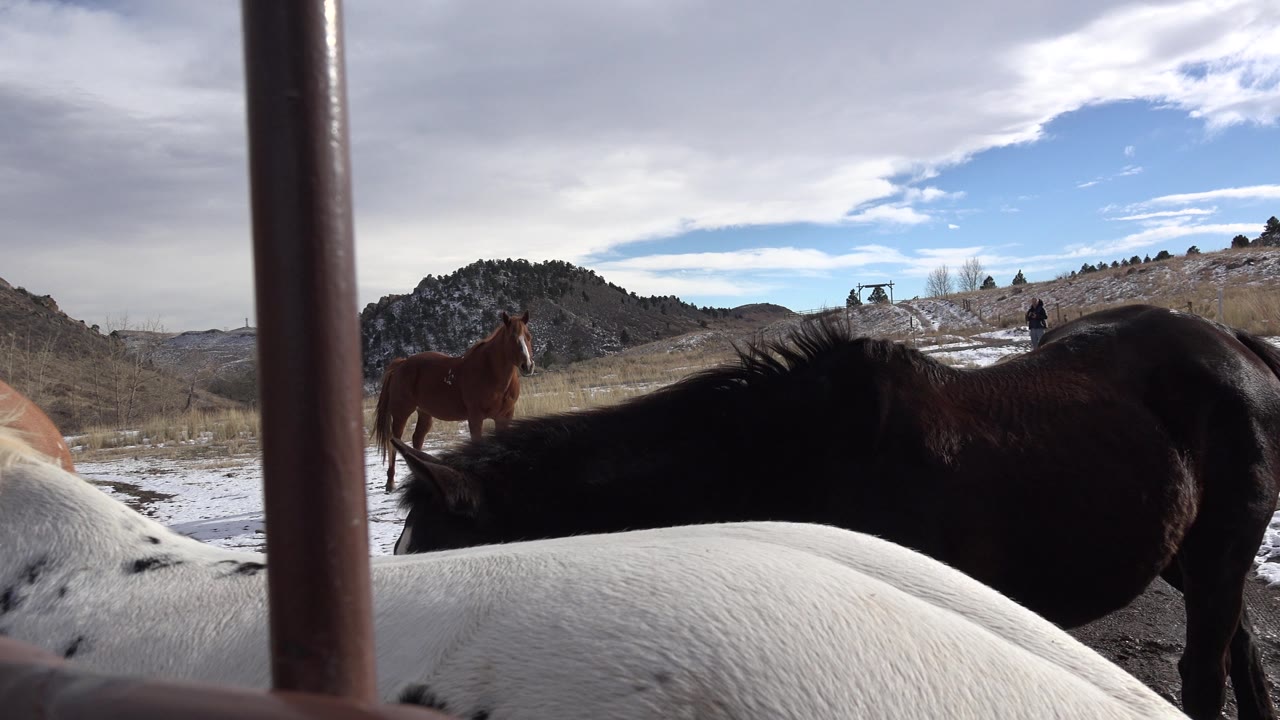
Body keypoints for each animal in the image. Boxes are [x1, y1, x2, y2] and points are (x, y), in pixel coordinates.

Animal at [372, 310, 534, 493]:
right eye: (512, 338)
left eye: (528, 336)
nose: (527, 366)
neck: (490, 372)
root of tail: (401, 365)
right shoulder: (475, 417)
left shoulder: (505, 416)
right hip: (401, 413)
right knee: (394, 441)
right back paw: (390, 482)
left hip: (424, 413)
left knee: (417, 439)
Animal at [391, 304, 1280, 720]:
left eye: (433, 556)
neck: (791, 453)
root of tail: (1237, 341)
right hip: (1189, 555)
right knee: (1241, 651)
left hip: (1222, 549)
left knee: (1206, 674)